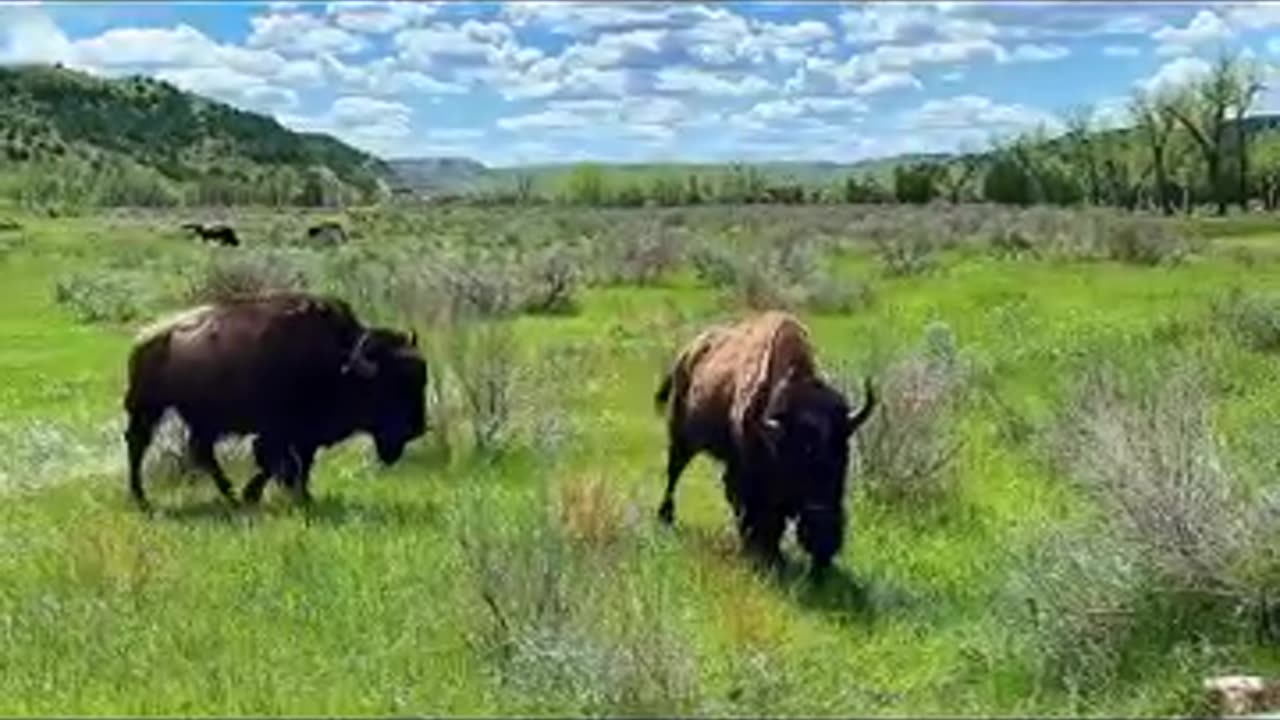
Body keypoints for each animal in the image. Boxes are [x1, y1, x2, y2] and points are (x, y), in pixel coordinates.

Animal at [122, 288, 427, 507]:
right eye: (390, 387)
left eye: (421, 382)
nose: (416, 429)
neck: (339, 359)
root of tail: (144, 339)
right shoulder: (277, 431)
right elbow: (274, 461)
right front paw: (258, 495)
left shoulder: (304, 435)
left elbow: (299, 463)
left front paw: (301, 496)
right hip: (149, 408)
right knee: (139, 445)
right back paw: (142, 499)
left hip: (200, 419)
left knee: (200, 451)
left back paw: (229, 495)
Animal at [655, 308, 875, 571]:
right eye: (798, 456)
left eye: (843, 455)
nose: (824, 538)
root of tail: (687, 353)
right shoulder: (746, 472)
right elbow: (752, 508)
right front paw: (759, 551)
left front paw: (773, 553)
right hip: (681, 436)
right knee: (674, 471)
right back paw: (665, 516)